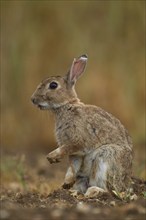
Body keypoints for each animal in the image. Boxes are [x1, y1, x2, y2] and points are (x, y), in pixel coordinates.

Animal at [31, 54, 133, 194]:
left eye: (53, 85)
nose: (33, 99)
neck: (67, 106)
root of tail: (125, 184)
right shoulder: (75, 153)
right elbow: (73, 166)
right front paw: (66, 183)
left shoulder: (77, 141)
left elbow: (67, 150)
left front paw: (51, 156)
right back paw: (74, 191)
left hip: (105, 157)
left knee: (109, 190)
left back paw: (92, 191)